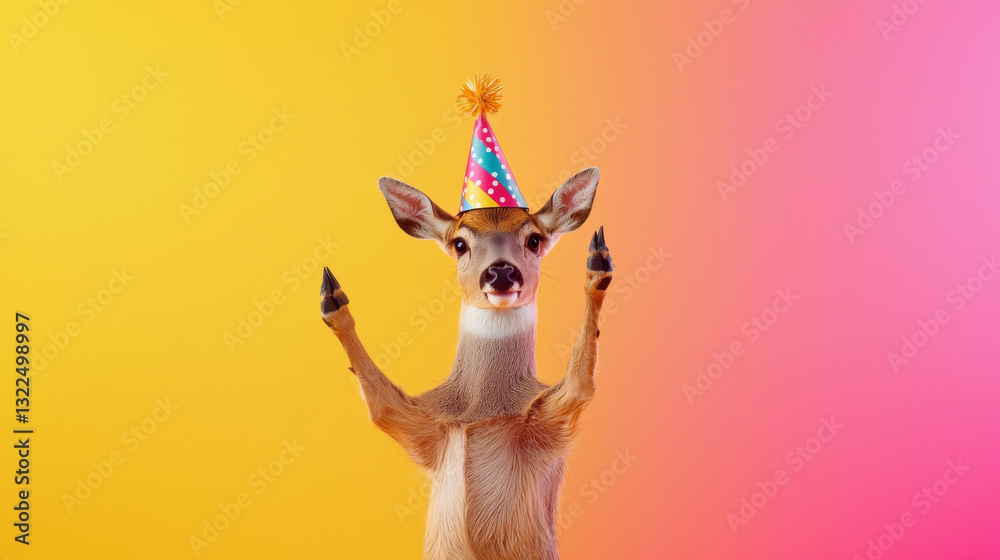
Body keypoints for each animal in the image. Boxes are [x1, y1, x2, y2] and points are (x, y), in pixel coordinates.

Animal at [320, 166, 612, 560]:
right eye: (460, 244)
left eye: (534, 239)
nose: (501, 272)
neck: (480, 409)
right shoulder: (422, 427)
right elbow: (378, 404)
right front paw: (331, 297)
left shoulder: (554, 417)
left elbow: (584, 382)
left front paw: (598, 263)